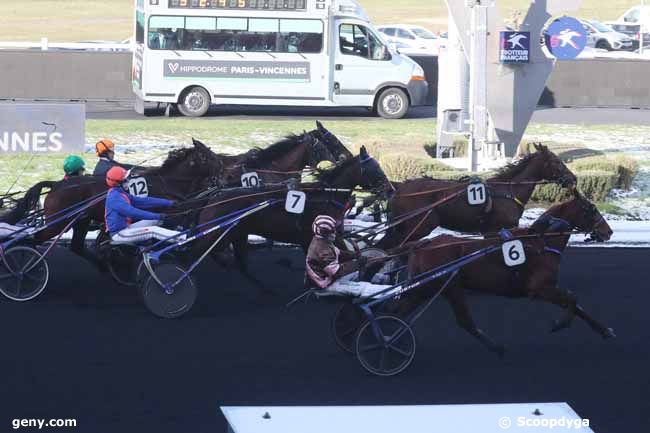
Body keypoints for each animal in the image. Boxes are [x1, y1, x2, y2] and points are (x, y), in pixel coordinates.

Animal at [378, 143, 576, 248]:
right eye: (556, 162)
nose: (573, 178)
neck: (508, 191)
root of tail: (399, 186)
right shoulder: (495, 230)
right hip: (419, 226)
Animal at [402, 191, 616, 356]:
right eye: (592, 210)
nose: (608, 232)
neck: (541, 241)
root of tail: (423, 244)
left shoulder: (548, 287)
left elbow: (578, 306)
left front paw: (605, 330)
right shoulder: (539, 288)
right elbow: (572, 298)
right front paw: (560, 323)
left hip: (427, 288)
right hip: (449, 287)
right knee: (464, 321)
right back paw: (497, 347)